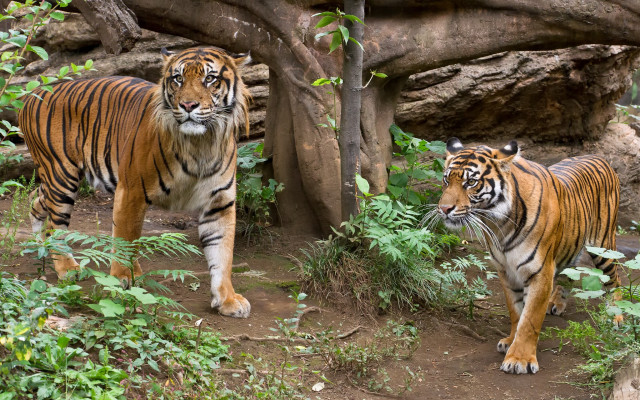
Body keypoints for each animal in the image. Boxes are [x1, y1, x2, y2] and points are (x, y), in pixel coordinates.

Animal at [18, 47, 252, 318]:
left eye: (210, 79)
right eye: (178, 79)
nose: (187, 105)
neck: (200, 144)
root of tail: (33, 94)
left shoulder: (220, 202)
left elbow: (222, 253)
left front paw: (228, 299)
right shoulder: (131, 190)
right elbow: (125, 238)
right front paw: (120, 280)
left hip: (53, 179)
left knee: (35, 201)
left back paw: (40, 247)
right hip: (61, 174)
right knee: (55, 226)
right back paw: (67, 267)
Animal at [435, 138, 620, 374]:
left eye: (471, 182)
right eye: (446, 180)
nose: (444, 209)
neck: (499, 224)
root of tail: (598, 156)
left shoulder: (540, 272)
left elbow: (530, 319)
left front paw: (519, 359)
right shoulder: (506, 271)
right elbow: (516, 312)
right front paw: (510, 341)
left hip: (603, 246)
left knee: (615, 279)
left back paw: (616, 316)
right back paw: (556, 303)